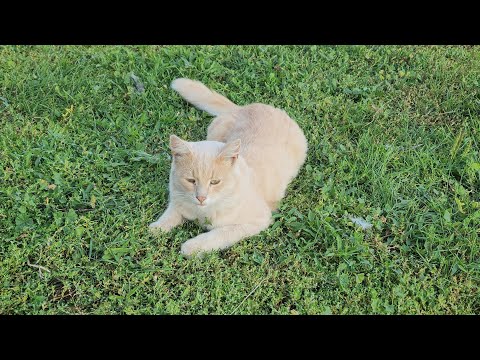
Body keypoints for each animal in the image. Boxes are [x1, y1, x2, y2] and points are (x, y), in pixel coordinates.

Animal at [148, 77, 310, 258]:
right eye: (191, 180)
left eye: (214, 182)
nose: (201, 198)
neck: (204, 213)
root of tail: (243, 107)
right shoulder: (178, 199)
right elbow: (171, 213)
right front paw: (157, 227)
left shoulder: (257, 220)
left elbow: (219, 234)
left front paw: (192, 247)